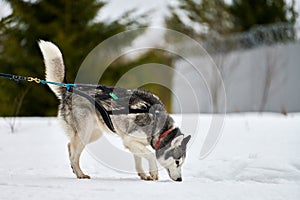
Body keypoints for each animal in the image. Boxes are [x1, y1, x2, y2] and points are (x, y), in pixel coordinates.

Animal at [38, 40, 191, 181]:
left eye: (182, 163)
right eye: (177, 162)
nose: (180, 180)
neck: (158, 123)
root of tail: (68, 90)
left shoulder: (133, 143)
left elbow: (139, 159)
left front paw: (143, 175)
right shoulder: (130, 140)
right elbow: (150, 155)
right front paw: (153, 174)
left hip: (93, 133)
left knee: (70, 146)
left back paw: (76, 171)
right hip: (85, 132)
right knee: (74, 153)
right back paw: (80, 174)